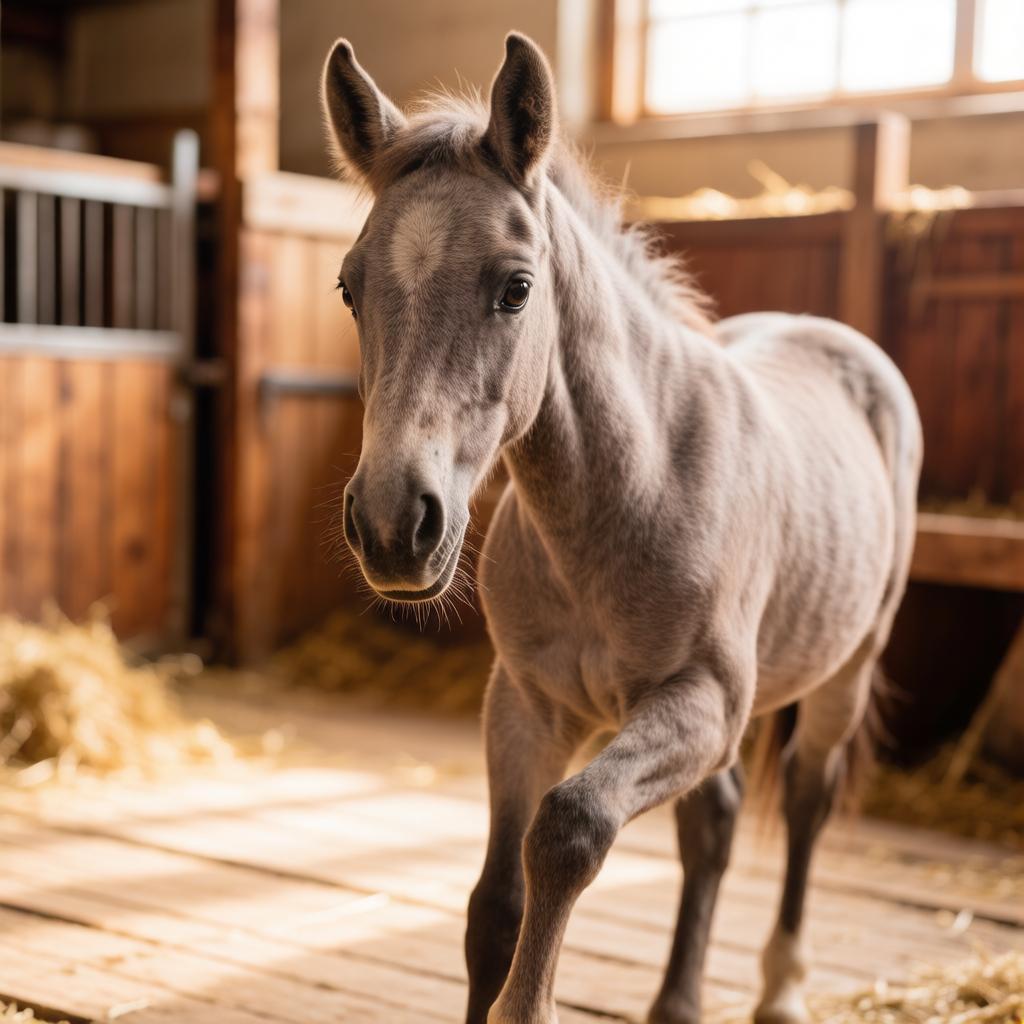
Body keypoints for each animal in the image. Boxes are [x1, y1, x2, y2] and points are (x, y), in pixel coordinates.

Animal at [319, 31, 922, 1024]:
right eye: (348, 287)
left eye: (516, 288)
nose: (393, 523)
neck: (623, 500)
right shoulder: (526, 705)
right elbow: (494, 905)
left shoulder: (702, 704)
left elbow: (568, 831)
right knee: (715, 822)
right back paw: (679, 1000)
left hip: (847, 667)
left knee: (805, 801)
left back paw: (780, 988)